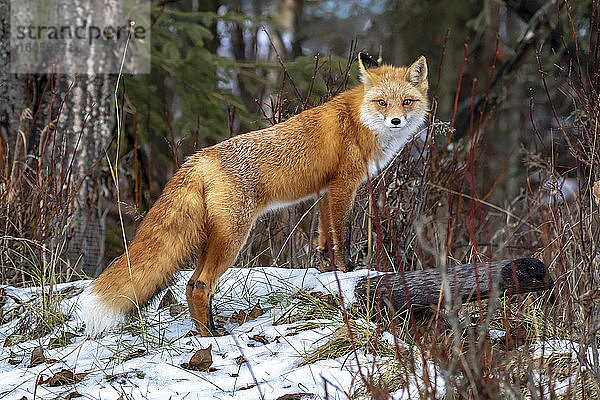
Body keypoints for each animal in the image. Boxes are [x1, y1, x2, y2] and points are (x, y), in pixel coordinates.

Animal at [79, 51, 428, 336]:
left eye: (406, 102)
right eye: (382, 102)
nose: (396, 120)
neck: (360, 122)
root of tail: (197, 158)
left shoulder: (325, 192)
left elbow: (323, 240)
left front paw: (326, 273)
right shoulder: (344, 185)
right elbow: (342, 237)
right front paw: (349, 272)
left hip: (215, 238)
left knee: (191, 283)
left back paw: (206, 329)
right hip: (234, 237)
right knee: (201, 284)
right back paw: (212, 337)